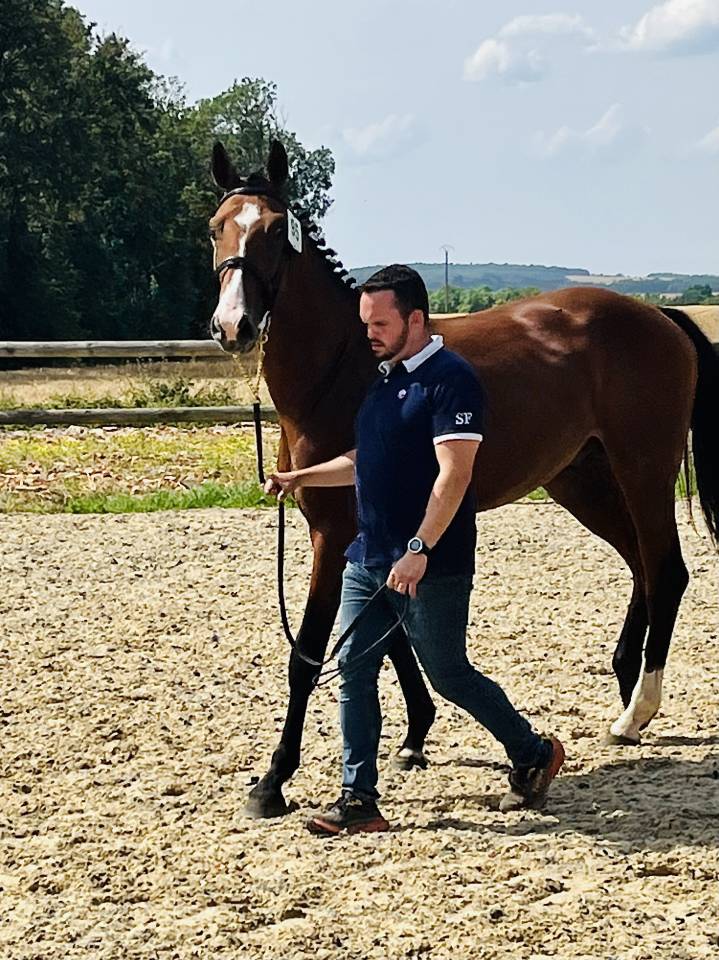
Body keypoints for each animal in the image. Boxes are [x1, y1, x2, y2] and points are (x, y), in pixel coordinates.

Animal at [208, 139, 719, 819]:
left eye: (271, 231)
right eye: (216, 227)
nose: (232, 326)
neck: (350, 371)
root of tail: (657, 315)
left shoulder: (331, 536)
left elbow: (311, 652)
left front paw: (273, 781)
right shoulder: (374, 532)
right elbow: (389, 634)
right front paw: (415, 735)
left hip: (643, 470)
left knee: (666, 570)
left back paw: (636, 711)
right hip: (582, 480)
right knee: (642, 565)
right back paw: (625, 693)